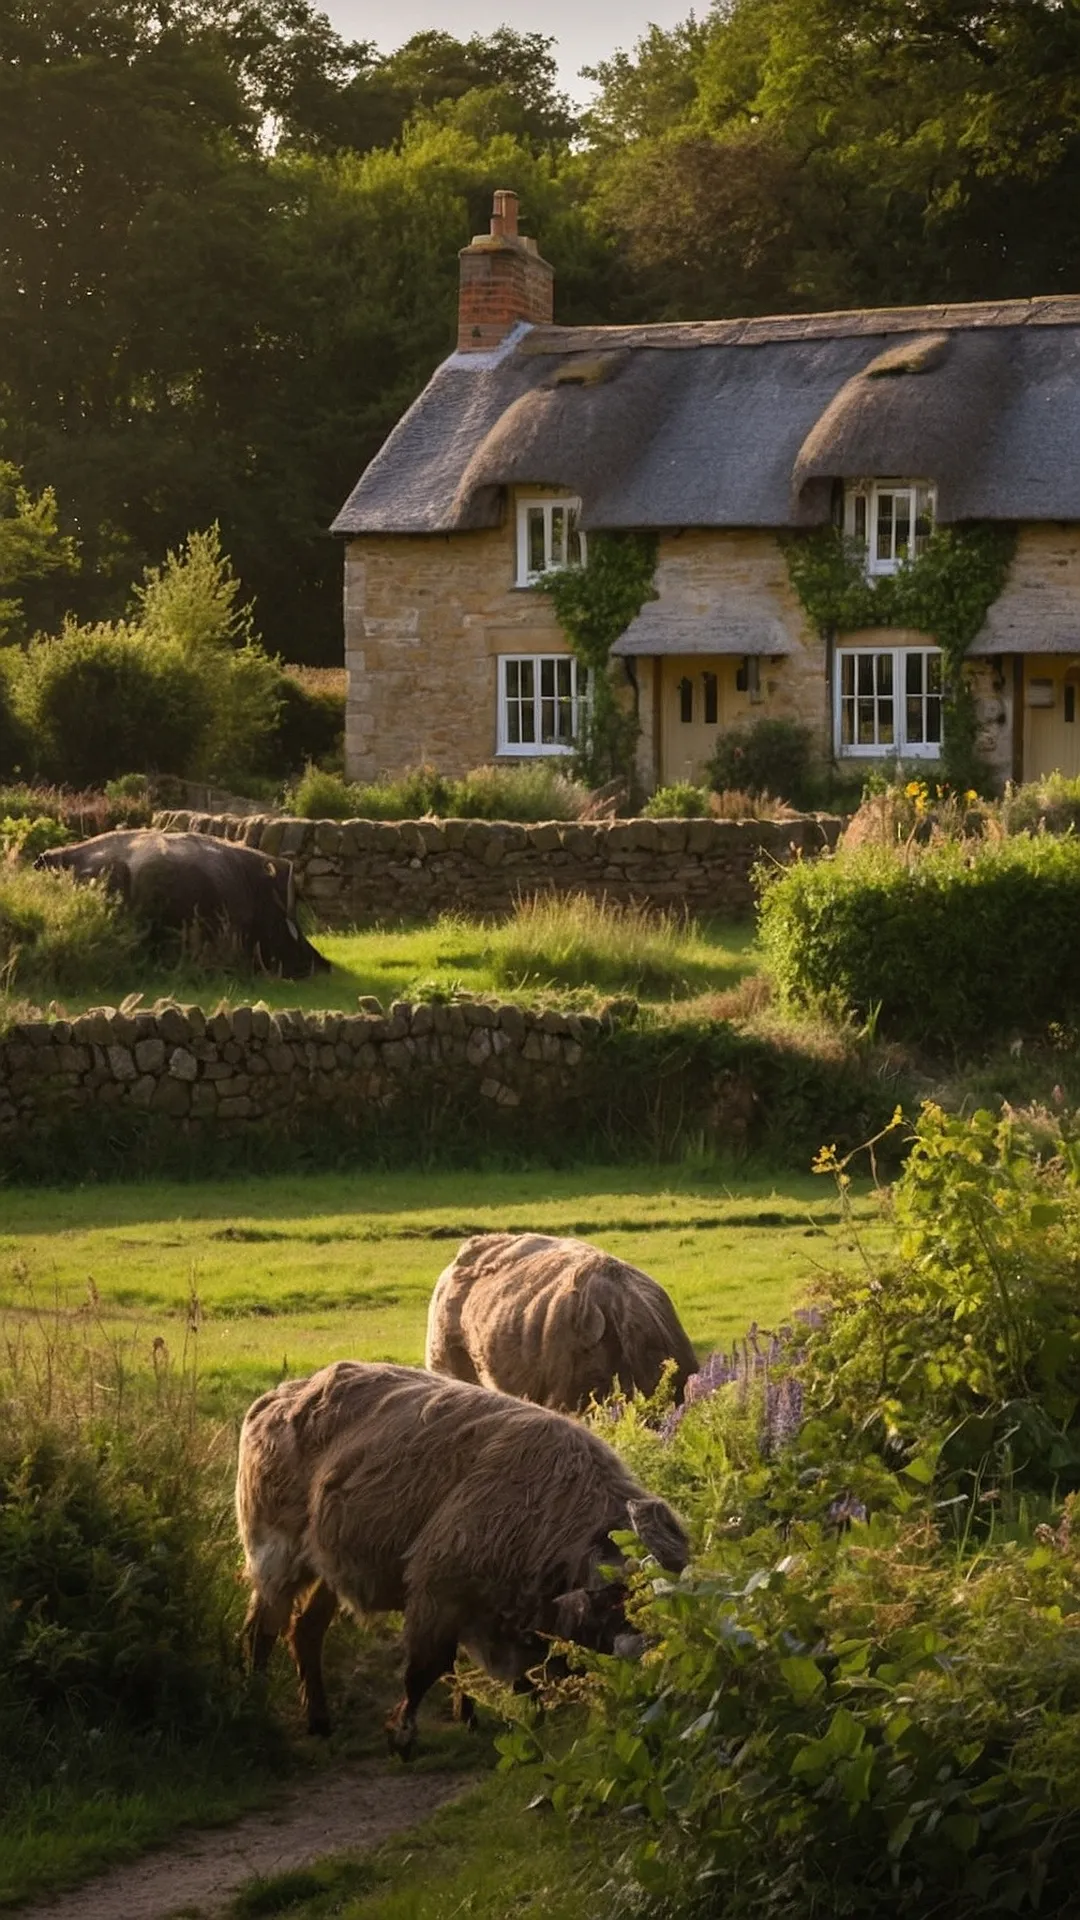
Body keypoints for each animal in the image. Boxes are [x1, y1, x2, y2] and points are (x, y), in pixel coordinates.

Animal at [238, 1351, 684, 1758]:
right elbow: (425, 1670)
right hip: (276, 1555)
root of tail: (278, 1399)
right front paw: (402, 1734)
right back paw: (256, 1700)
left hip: (327, 1566)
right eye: (621, 1609)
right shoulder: (438, 1592)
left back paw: (319, 1720)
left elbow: (513, 1680)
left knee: (305, 1631)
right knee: (263, 1628)